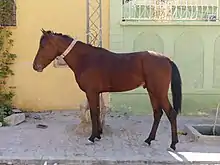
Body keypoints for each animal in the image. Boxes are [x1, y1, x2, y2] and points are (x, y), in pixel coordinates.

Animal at [31, 28, 181, 151]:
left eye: (43, 45)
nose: (35, 66)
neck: (85, 59)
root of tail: (166, 59)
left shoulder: (91, 92)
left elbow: (93, 113)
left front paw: (92, 137)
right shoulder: (97, 93)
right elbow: (97, 112)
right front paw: (98, 135)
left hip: (159, 93)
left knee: (171, 113)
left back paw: (173, 144)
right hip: (152, 92)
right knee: (157, 113)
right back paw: (149, 140)